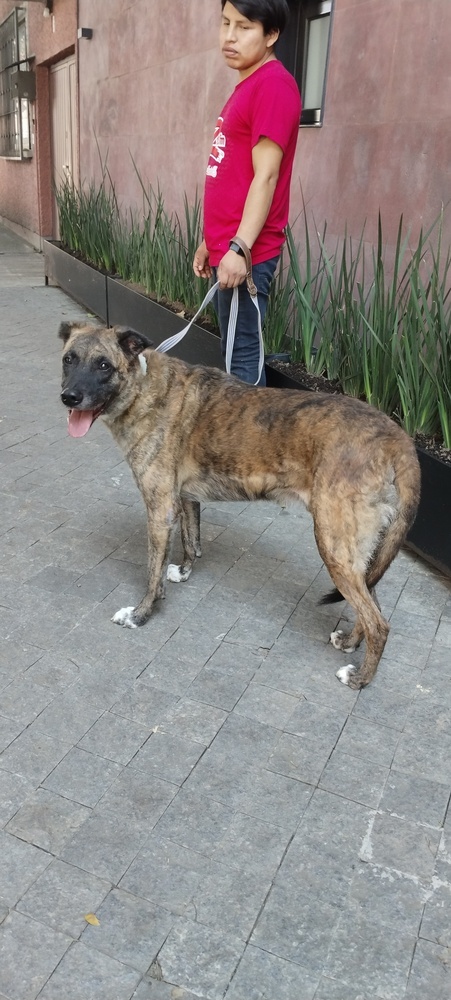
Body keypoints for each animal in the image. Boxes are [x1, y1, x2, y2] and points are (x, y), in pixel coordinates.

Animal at [58, 320, 422, 688]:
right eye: (68, 359)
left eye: (104, 365)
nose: (69, 397)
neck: (142, 388)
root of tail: (398, 439)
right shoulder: (184, 498)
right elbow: (191, 540)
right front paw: (184, 572)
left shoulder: (160, 510)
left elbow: (152, 572)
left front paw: (141, 614)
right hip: (358, 552)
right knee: (371, 602)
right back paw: (349, 642)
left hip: (335, 545)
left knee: (379, 623)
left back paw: (360, 678)